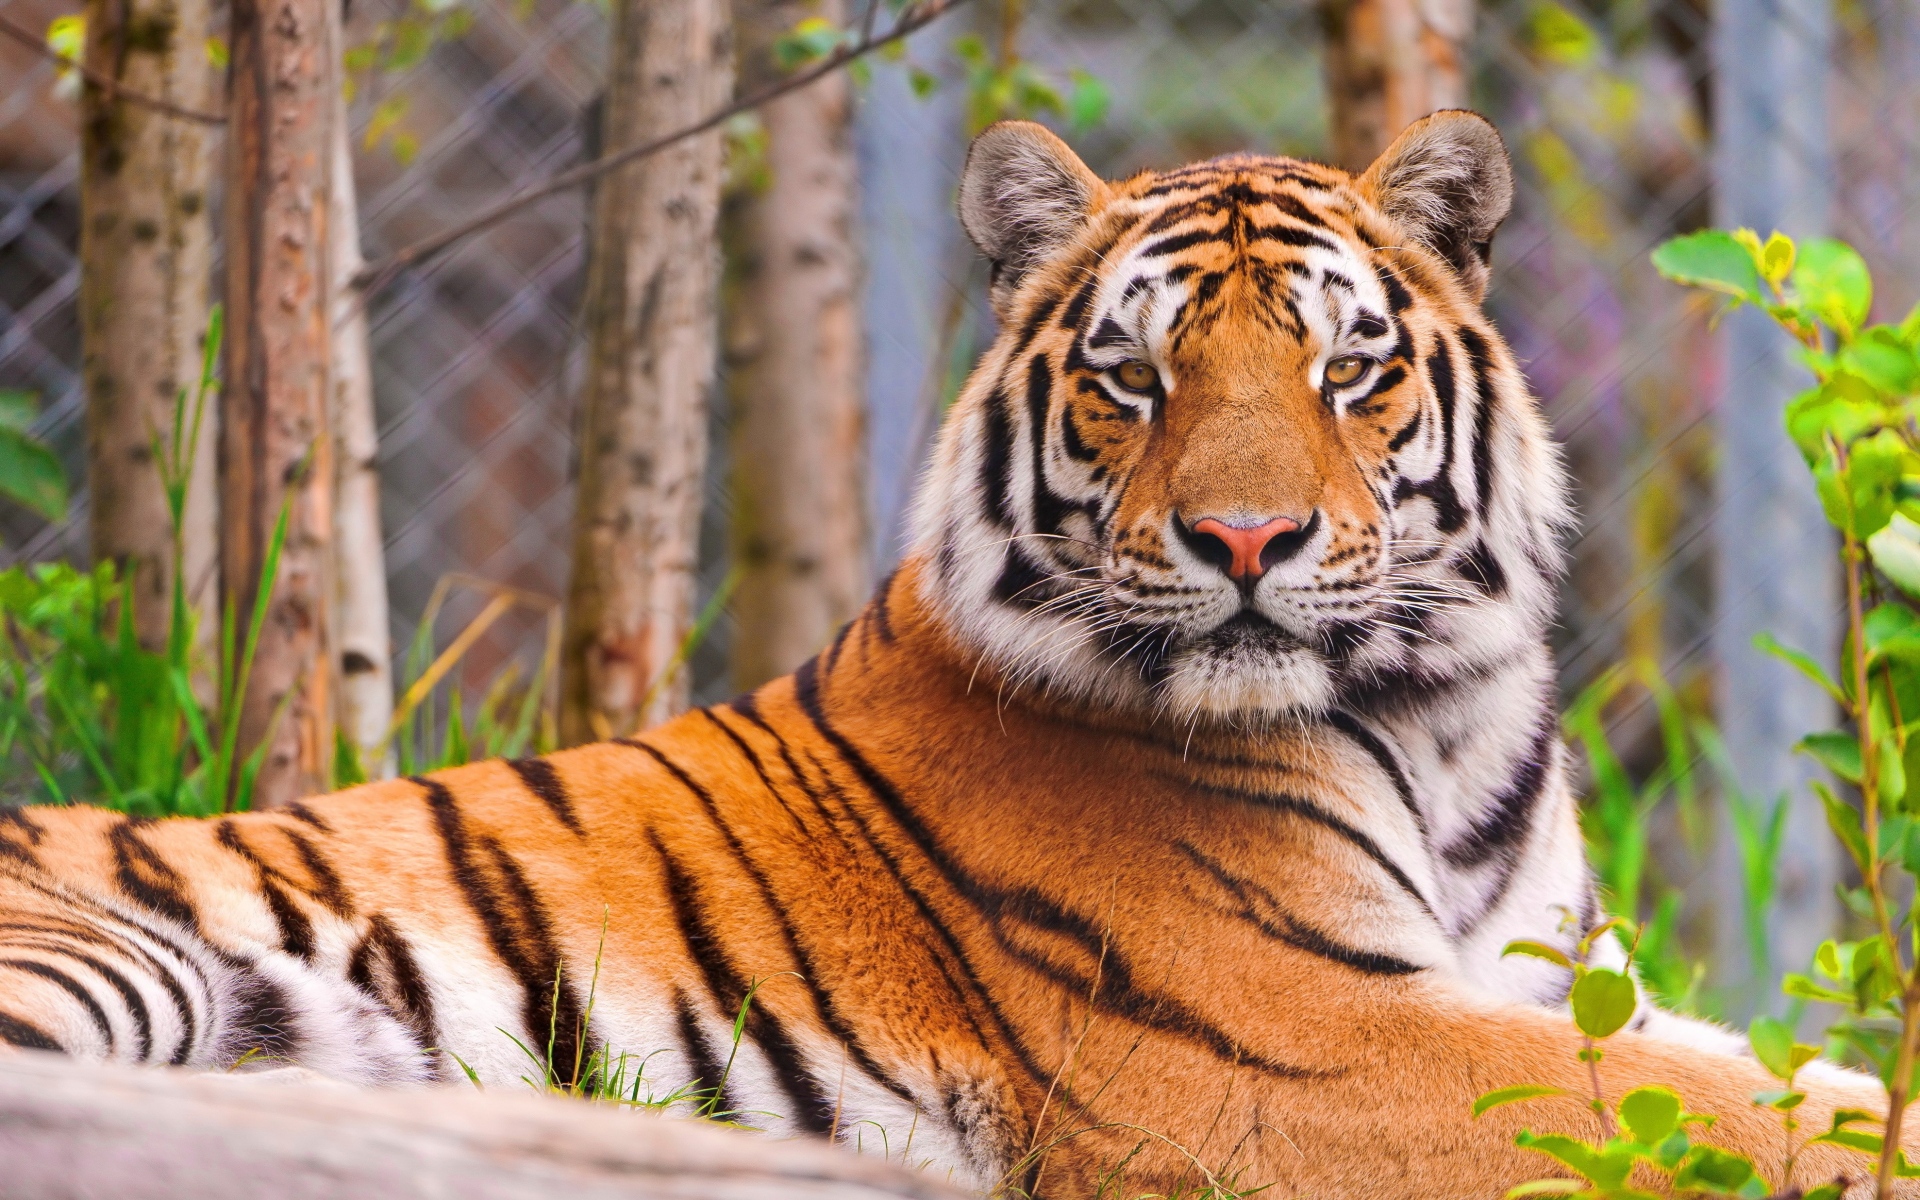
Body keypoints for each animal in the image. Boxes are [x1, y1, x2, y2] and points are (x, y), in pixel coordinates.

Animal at [0, 110, 1905, 1198]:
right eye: (1134, 375)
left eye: (1345, 367)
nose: (1246, 545)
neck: (1439, 723)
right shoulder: (1300, 1048)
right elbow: (1746, 1120)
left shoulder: (1558, 983)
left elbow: (1778, 1074)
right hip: (112, 959)